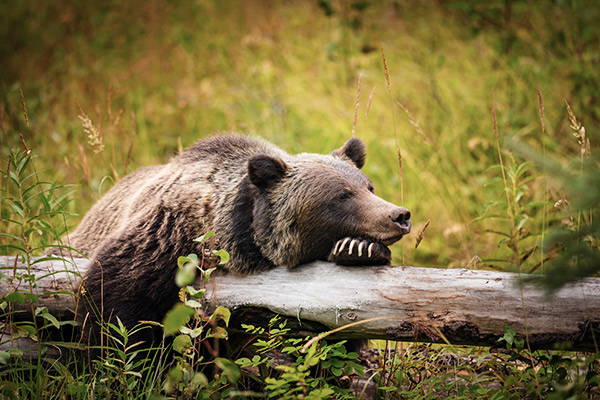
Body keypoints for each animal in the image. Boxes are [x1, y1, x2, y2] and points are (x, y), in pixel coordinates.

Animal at [67, 137, 412, 354]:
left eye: (368, 187)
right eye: (342, 195)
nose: (399, 215)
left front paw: (358, 250)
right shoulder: (166, 238)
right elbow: (112, 301)